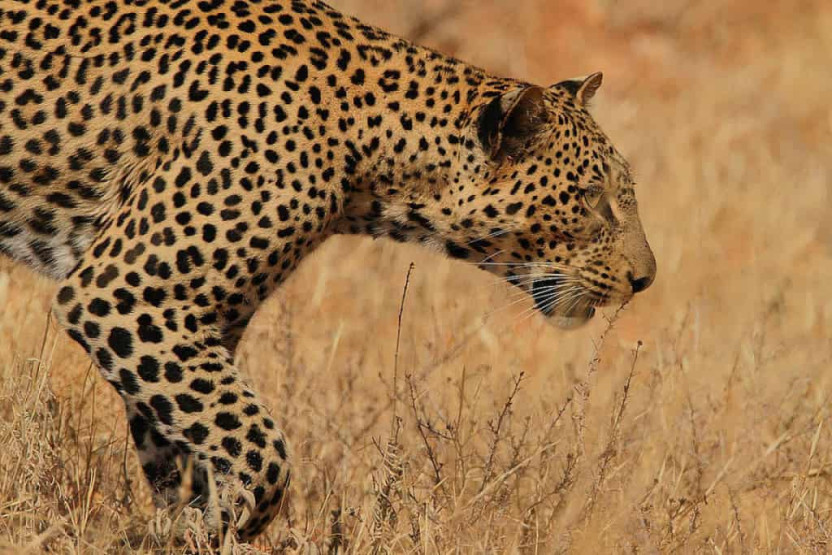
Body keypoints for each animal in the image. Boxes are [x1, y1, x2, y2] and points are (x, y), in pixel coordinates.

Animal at [0, 0, 656, 544]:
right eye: (594, 199)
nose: (646, 279)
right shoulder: (126, 293)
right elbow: (260, 444)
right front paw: (221, 522)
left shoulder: (194, 322)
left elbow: (189, 437)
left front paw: (186, 523)